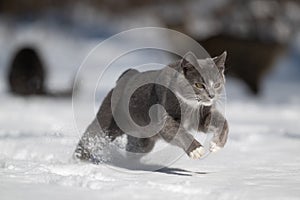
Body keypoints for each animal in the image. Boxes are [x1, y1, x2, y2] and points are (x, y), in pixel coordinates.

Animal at [74, 50, 227, 162]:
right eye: (199, 85)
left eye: (217, 84)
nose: (212, 95)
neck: (191, 106)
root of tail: (128, 74)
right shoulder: (164, 119)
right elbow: (180, 132)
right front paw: (196, 150)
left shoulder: (203, 116)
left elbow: (223, 122)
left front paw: (216, 145)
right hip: (108, 122)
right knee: (91, 136)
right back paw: (78, 160)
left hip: (143, 142)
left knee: (134, 148)